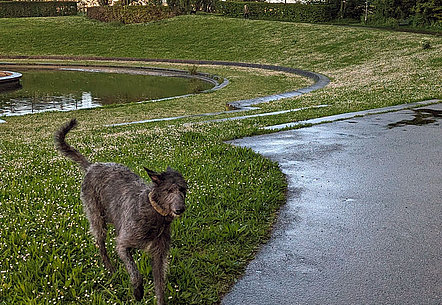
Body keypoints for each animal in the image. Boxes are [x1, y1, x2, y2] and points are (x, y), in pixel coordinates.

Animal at [54, 117, 187, 302]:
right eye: (169, 190)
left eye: (183, 189)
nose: (180, 209)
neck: (152, 211)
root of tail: (92, 166)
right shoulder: (124, 243)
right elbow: (134, 271)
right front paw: (138, 291)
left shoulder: (159, 255)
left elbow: (160, 285)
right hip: (96, 217)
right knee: (100, 244)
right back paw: (110, 268)